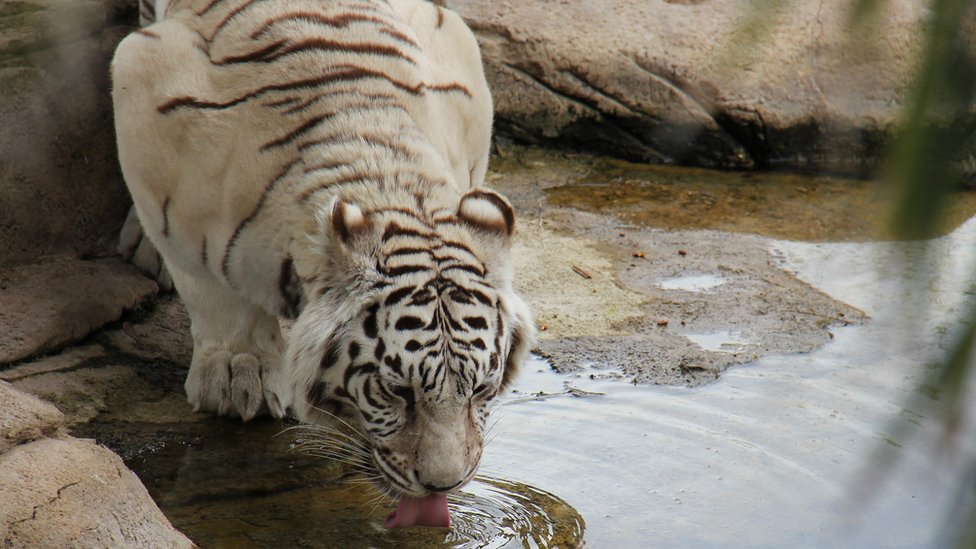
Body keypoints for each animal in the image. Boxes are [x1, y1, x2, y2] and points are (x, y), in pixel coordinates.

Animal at [113, 0, 532, 524]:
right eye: (397, 391)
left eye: (479, 391)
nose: (444, 485)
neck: (386, 174)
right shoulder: (144, 90)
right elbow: (208, 285)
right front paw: (236, 377)